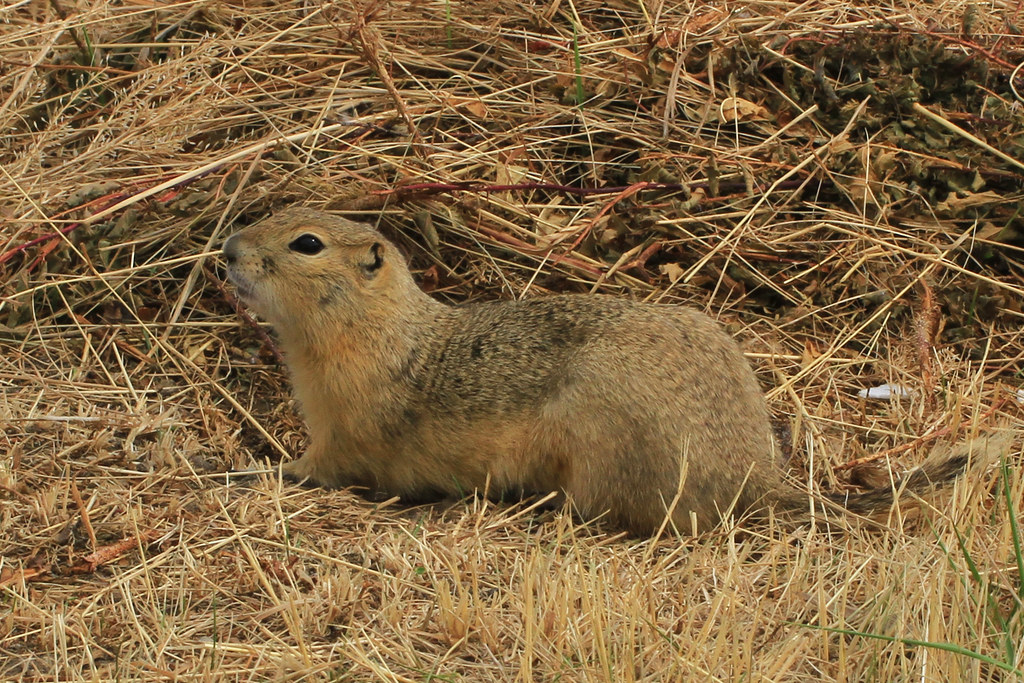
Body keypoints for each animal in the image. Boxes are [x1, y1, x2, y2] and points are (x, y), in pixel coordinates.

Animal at [223, 206, 985, 535]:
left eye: (307, 243)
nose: (229, 249)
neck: (379, 330)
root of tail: (754, 477)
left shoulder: (344, 436)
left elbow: (311, 469)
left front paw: (242, 469)